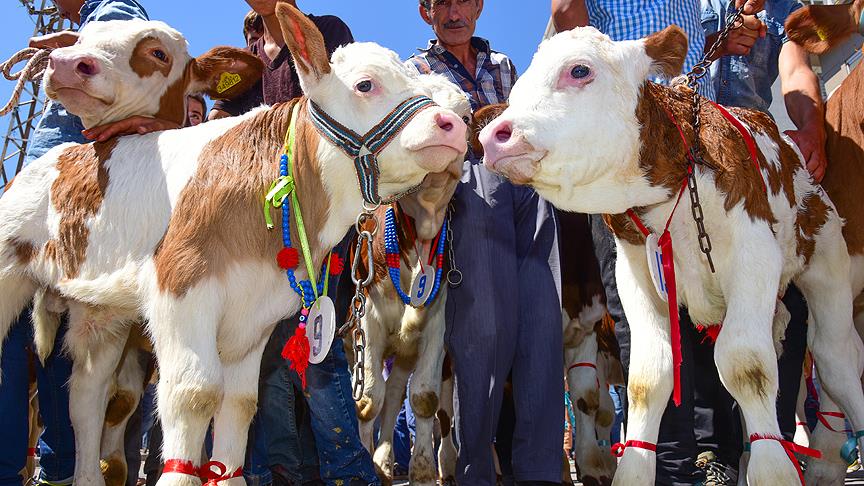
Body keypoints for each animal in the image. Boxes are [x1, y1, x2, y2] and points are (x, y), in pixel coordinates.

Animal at [0, 4, 470, 486]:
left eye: (459, 108)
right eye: (365, 84)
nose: (451, 126)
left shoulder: (255, 316)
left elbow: (239, 404)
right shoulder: (181, 288)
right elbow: (195, 394)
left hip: (103, 313)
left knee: (86, 398)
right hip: (11, 269)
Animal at [476, 25, 864, 486]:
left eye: (579, 70)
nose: (493, 137)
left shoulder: (754, 255)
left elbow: (744, 364)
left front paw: (774, 470)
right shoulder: (634, 275)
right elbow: (648, 377)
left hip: (826, 262)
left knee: (837, 359)